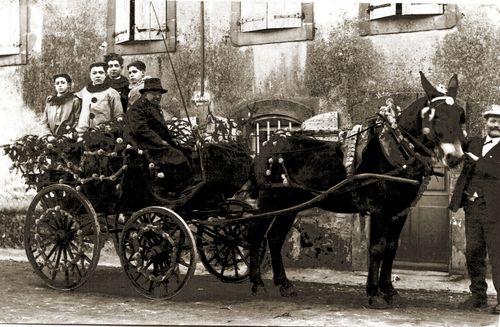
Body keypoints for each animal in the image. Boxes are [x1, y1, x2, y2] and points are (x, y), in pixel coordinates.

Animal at [248, 72, 466, 310]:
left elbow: (391, 248)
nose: (456, 157)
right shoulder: (380, 211)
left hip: (290, 205)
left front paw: (389, 290)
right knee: (256, 235)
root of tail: (268, 144)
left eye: (460, 115)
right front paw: (374, 293)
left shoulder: (400, 212)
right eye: (436, 116)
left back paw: (284, 284)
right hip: (270, 201)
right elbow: (377, 248)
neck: (395, 151)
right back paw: (257, 283)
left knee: (275, 238)